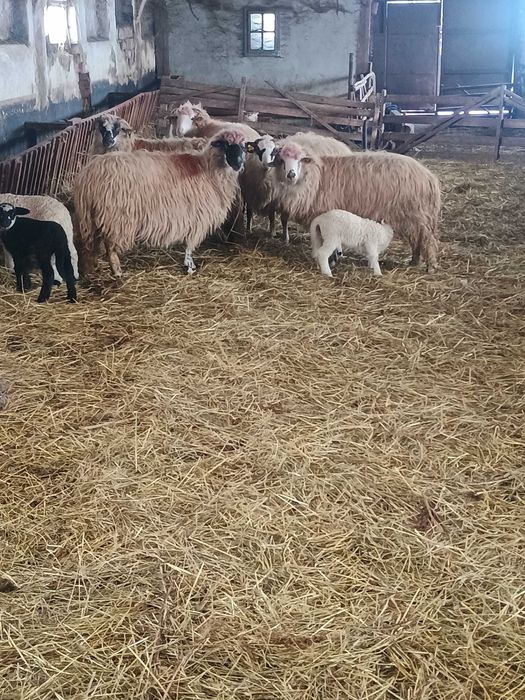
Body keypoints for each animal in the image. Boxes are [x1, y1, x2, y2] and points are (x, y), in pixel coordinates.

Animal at [74, 129, 248, 278]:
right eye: (225, 145)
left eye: (243, 146)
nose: (238, 164)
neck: (208, 169)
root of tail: (88, 176)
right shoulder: (198, 217)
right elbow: (190, 245)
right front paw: (189, 266)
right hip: (116, 218)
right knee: (110, 248)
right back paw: (117, 272)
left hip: (94, 217)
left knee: (90, 244)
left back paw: (90, 269)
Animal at [269, 141, 440, 271]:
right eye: (282, 161)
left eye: (300, 160)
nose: (291, 175)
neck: (315, 178)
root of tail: (429, 177)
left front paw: (332, 259)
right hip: (413, 218)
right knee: (417, 240)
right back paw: (414, 261)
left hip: (415, 215)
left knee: (426, 239)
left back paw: (430, 266)